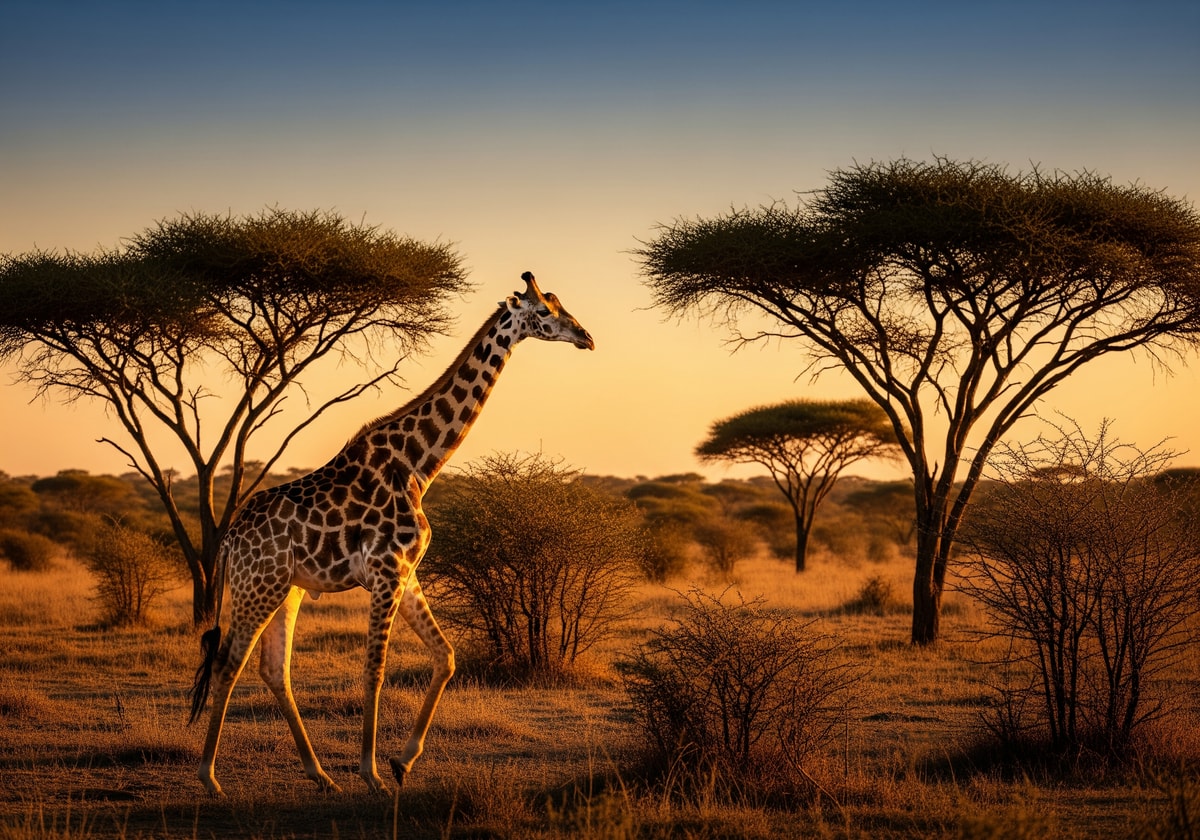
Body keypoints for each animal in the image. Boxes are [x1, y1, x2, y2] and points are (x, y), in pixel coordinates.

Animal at [187, 271, 593, 796]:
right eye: (545, 311)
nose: (586, 337)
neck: (419, 465)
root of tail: (229, 542)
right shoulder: (385, 573)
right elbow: (375, 670)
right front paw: (373, 773)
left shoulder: (408, 572)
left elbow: (446, 657)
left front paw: (403, 761)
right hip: (260, 586)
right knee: (227, 663)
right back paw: (210, 777)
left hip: (287, 588)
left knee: (274, 670)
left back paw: (319, 775)